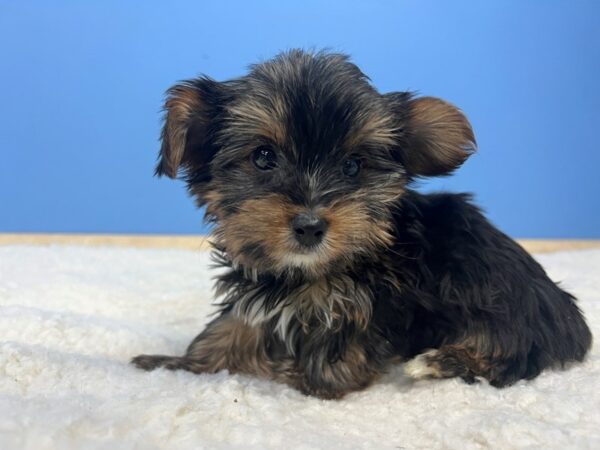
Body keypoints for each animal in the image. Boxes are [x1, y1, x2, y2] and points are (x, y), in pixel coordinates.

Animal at [131, 49, 592, 400]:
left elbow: (344, 341)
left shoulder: (376, 300)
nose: (311, 226)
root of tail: (572, 324)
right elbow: (234, 324)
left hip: (503, 305)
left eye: (353, 166)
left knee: (509, 357)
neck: (308, 273)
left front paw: (307, 379)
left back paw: (437, 361)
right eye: (263, 157)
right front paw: (181, 363)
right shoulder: (261, 285)